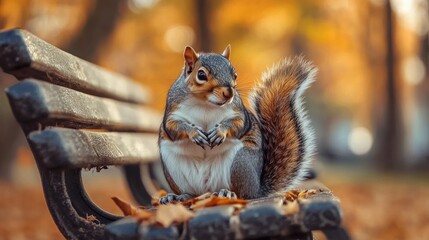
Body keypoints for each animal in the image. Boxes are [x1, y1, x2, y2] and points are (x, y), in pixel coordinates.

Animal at [157, 44, 314, 203]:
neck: (205, 103)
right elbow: (173, 127)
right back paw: (177, 196)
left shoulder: (239, 113)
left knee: (243, 194)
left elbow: (237, 124)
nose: (229, 93)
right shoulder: (172, 111)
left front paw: (220, 132)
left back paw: (227, 193)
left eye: (235, 75)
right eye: (201, 75)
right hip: (174, 168)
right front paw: (194, 132)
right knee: (192, 194)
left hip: (241, 162)